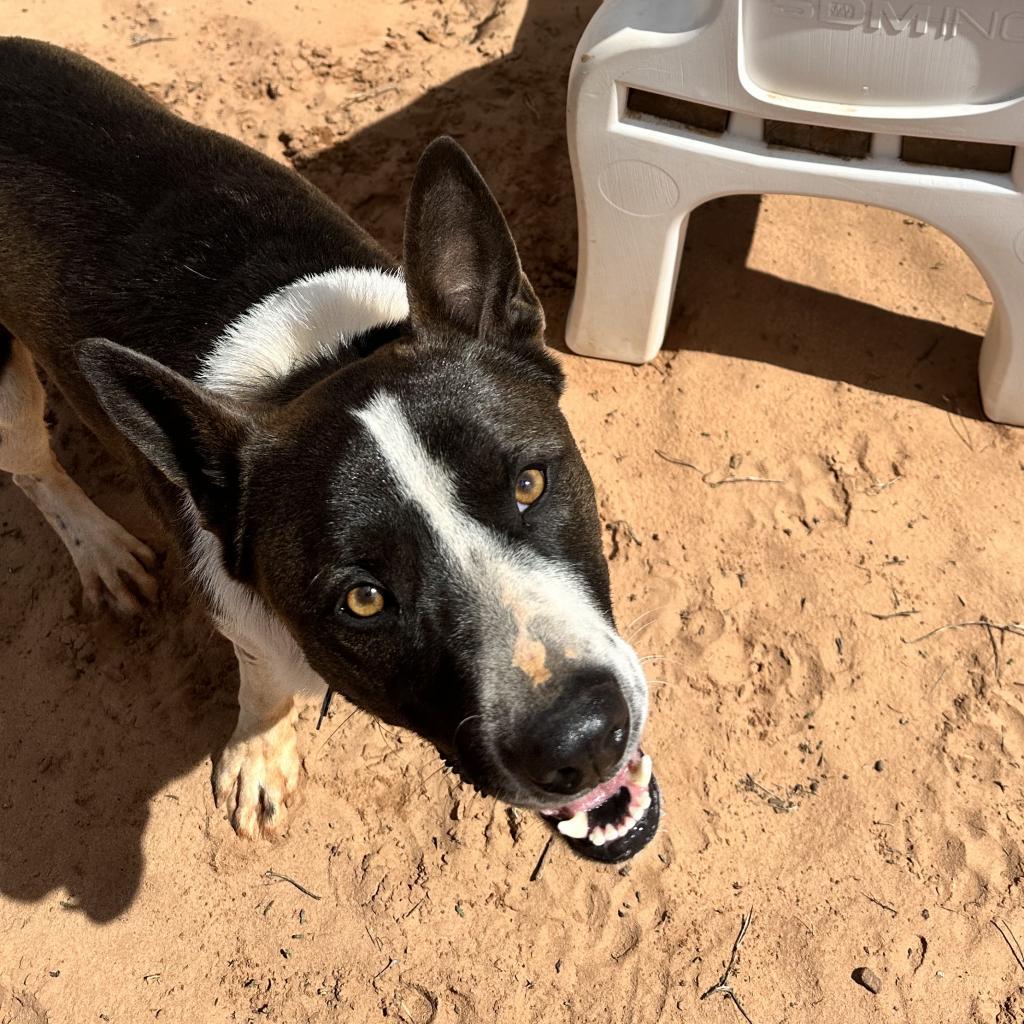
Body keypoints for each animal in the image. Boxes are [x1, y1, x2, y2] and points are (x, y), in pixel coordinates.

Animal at [0, 36, 655, 860]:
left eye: (530, 484)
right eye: (363, 600)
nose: (583, 739)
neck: (317, 361)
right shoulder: (232, 596)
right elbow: (261, 669)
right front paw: (259, 748)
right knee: (31, 465)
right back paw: (100, 547)